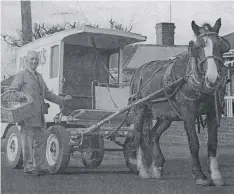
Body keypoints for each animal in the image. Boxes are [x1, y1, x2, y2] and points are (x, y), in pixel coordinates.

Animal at [130, 18, 230, 186]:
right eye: (198, 47)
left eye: (220, 45)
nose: (212, 79)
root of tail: (139, 70)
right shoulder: (188, 113)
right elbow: (194, 143)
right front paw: (200, 176)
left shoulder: (212, 112)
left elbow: (212, 143)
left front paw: (216, 175)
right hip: (140, 109)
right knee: (138, 137)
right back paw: (143, 169)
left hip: (166, 116)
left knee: (153, 134)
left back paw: (156, 166)